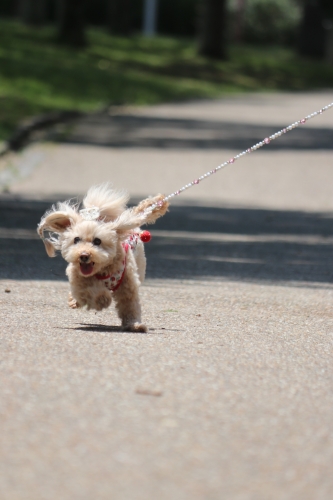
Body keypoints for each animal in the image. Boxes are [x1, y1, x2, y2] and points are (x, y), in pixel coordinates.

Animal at [38, 184, 169, 332]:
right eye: (76, 239)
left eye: (97, 241)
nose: (84, 255)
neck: (103, 271)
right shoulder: (79, 279)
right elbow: (90, 291)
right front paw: (102, 299)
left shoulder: (128, 284)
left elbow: (130, 304)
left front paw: (134, 324)